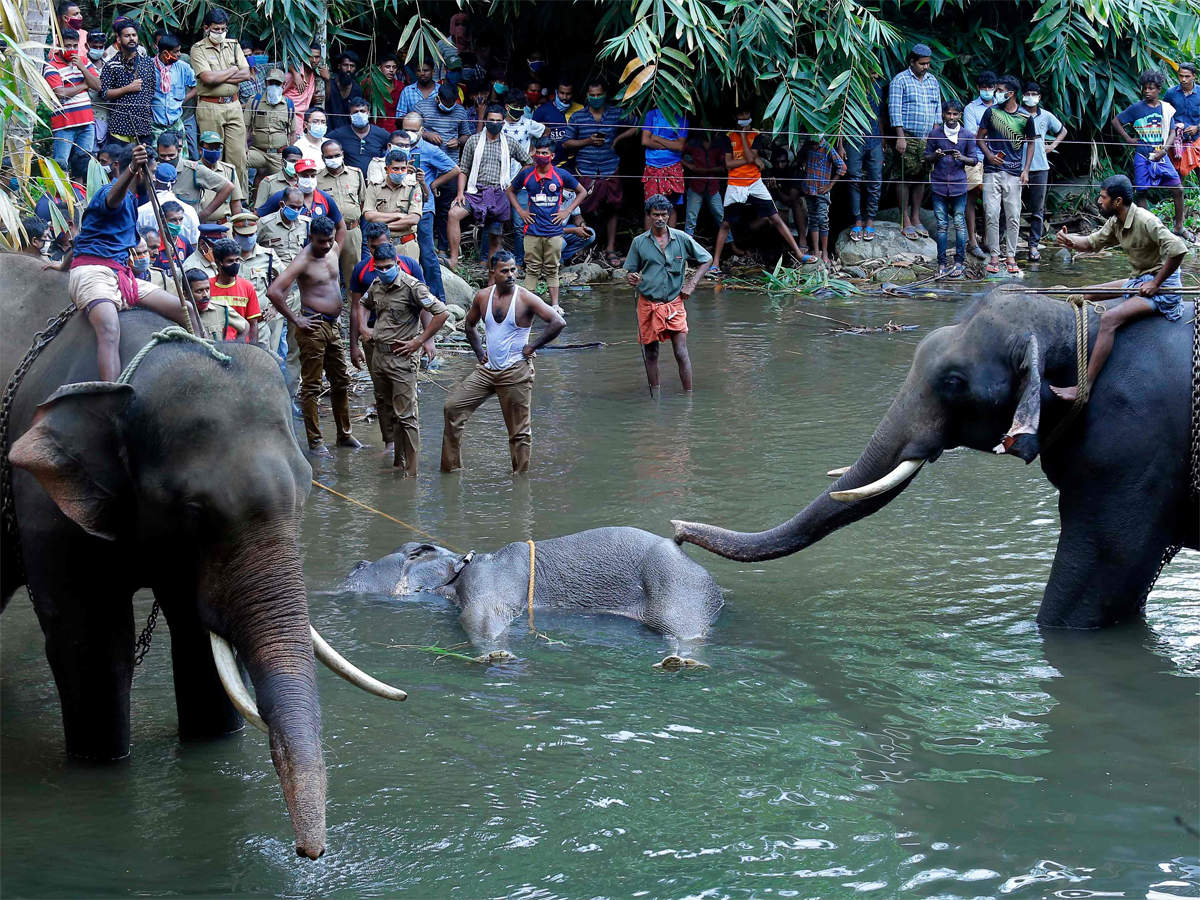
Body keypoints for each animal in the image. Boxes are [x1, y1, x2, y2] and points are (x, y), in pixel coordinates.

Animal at [0, 252, 405, 859]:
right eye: (192, 510)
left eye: (307, 490)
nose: (310, 853)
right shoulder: (44, 505)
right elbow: (92, 645)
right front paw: (102, 766)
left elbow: (197, 640)